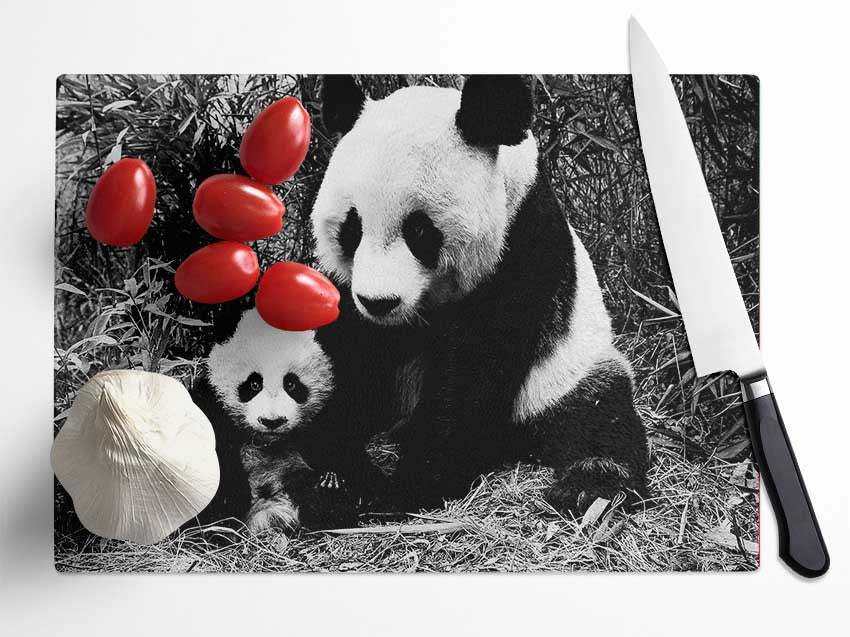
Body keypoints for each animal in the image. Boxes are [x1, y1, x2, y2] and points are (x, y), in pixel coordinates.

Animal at [191, 308, 357, 532]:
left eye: (291, 384)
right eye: (254, 384)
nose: (272, 421)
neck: (268, 442)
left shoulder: (327, 413)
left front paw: (332, 482)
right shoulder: (212, 405)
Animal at [311, 75, 650, 515]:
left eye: (419, 230)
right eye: (352, 228)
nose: (379, 302)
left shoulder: (520, 251)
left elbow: (473, 377)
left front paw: (406, 487)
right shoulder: (347, 293)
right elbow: (346, 357)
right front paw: (341, 469)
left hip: (569, 369)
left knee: (598, 416)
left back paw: (588, 486)